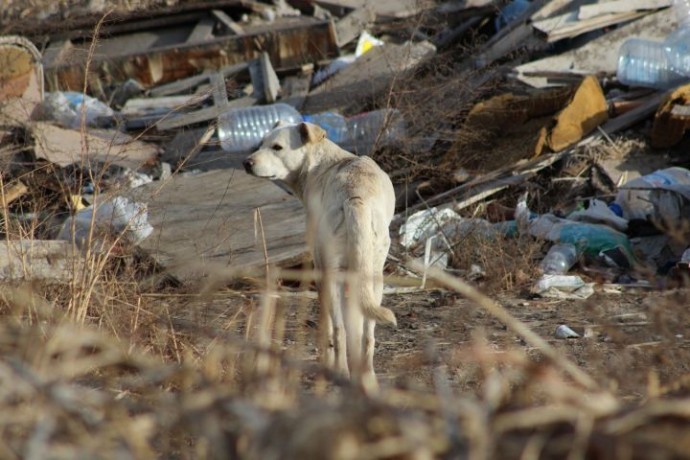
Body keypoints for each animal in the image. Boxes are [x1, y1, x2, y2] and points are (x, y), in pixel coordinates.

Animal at [243, 122, 396, 388]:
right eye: (261, 144)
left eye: (277, 147)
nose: (246, 163)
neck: (318, 161)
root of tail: (355, 197)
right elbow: (356, 327)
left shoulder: (320, 268)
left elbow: (331, 329)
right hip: (374, 277)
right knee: (368, 335)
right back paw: (366, 379)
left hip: (329, 273)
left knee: (338, 329)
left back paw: (340, 372)